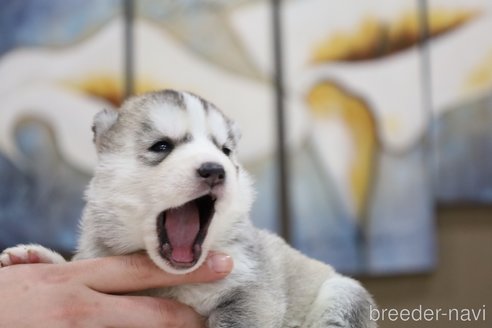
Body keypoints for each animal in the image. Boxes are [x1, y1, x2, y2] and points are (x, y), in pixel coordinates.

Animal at [0, 89, 376, 328]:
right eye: (161, 146)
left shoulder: (252, 291)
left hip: (343, 294)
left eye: (225, 150)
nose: (214, 169)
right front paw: (40, 259)